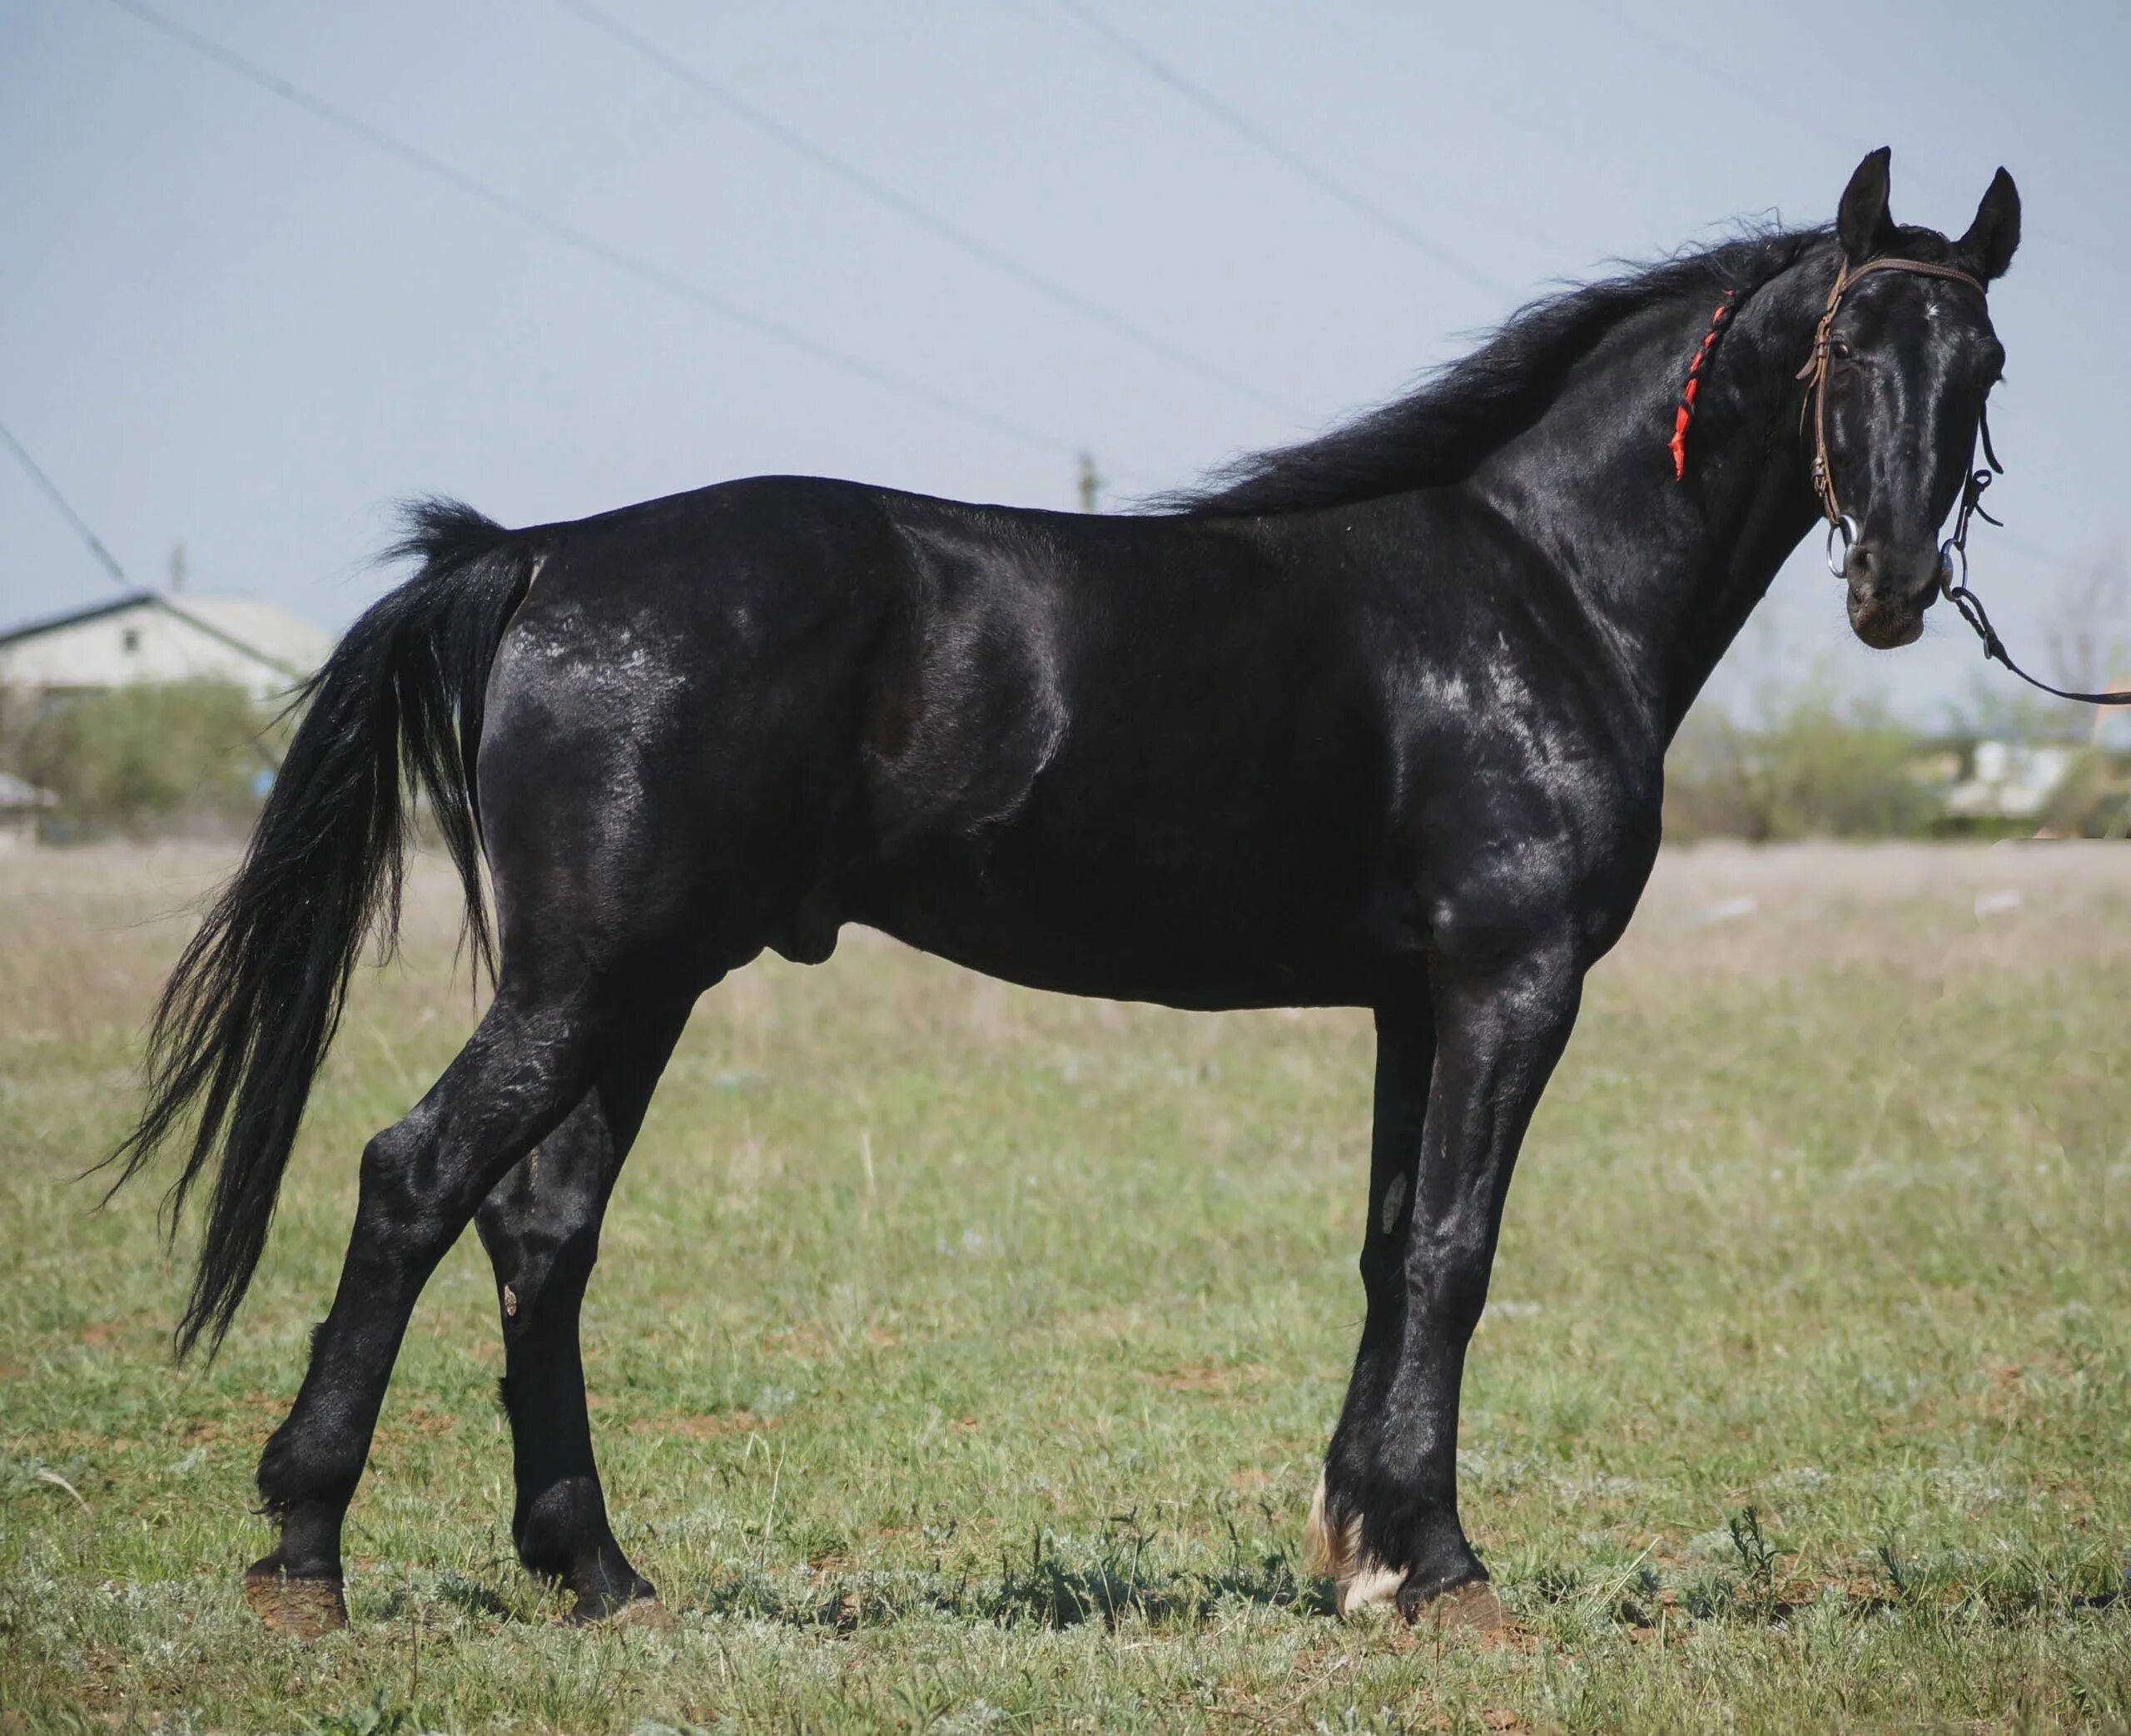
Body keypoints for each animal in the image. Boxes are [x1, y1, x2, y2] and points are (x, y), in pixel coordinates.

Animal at [112, 146, 2011, 1627]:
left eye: (1984, 358)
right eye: (1845, 346)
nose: (1895, 581)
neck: (1535, 586)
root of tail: (547, 553)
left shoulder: (1415, 998)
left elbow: (1389, 1246)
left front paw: (1360, 1547)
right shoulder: (1510, 979)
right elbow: (1457, 1254)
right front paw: (1445, 1566)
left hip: (638, 986)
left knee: (539, 1228)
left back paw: (599, 1572)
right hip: (586, 977)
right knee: (414, 1177)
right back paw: (303, 1556)